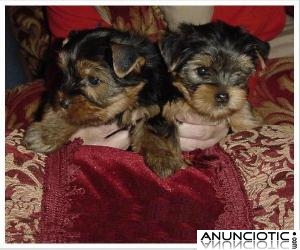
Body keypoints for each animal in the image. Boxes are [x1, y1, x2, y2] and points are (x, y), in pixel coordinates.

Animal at [24, 28, 185, 178]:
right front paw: (45, 134)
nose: (62, 103)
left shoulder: (155, 105)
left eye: (93, 80)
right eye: (63, 73)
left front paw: (162, 156)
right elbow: (70, 114)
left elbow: (152, 126)